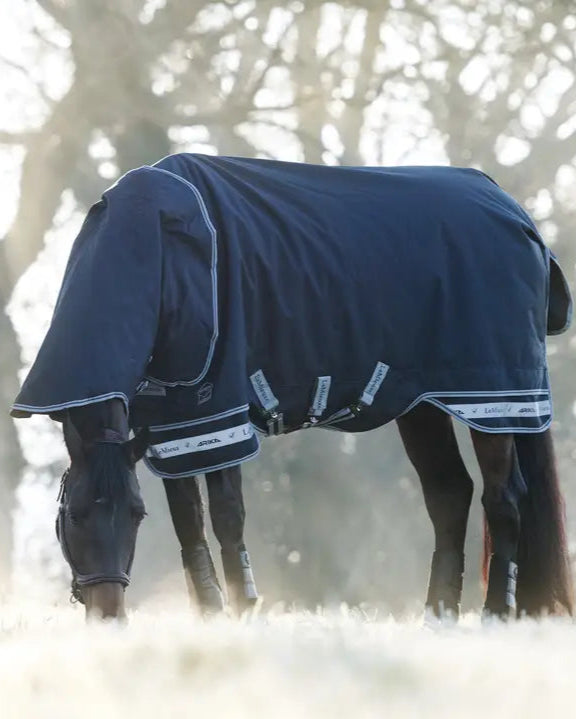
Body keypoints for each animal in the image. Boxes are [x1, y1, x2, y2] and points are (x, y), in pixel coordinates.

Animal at [12, 153, 573, 620]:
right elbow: (188, 519)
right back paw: (438, 615)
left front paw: (243, 608)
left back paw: (497, 612)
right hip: (425, 404)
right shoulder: (172, 421)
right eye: (75, 514)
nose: (108, 615)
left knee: (504, 497)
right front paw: (210, 612)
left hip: (495, 401)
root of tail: (515, 213)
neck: (159, 250)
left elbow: (227, 514)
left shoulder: (220, 406)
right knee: (449, 495)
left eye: (133, 515)